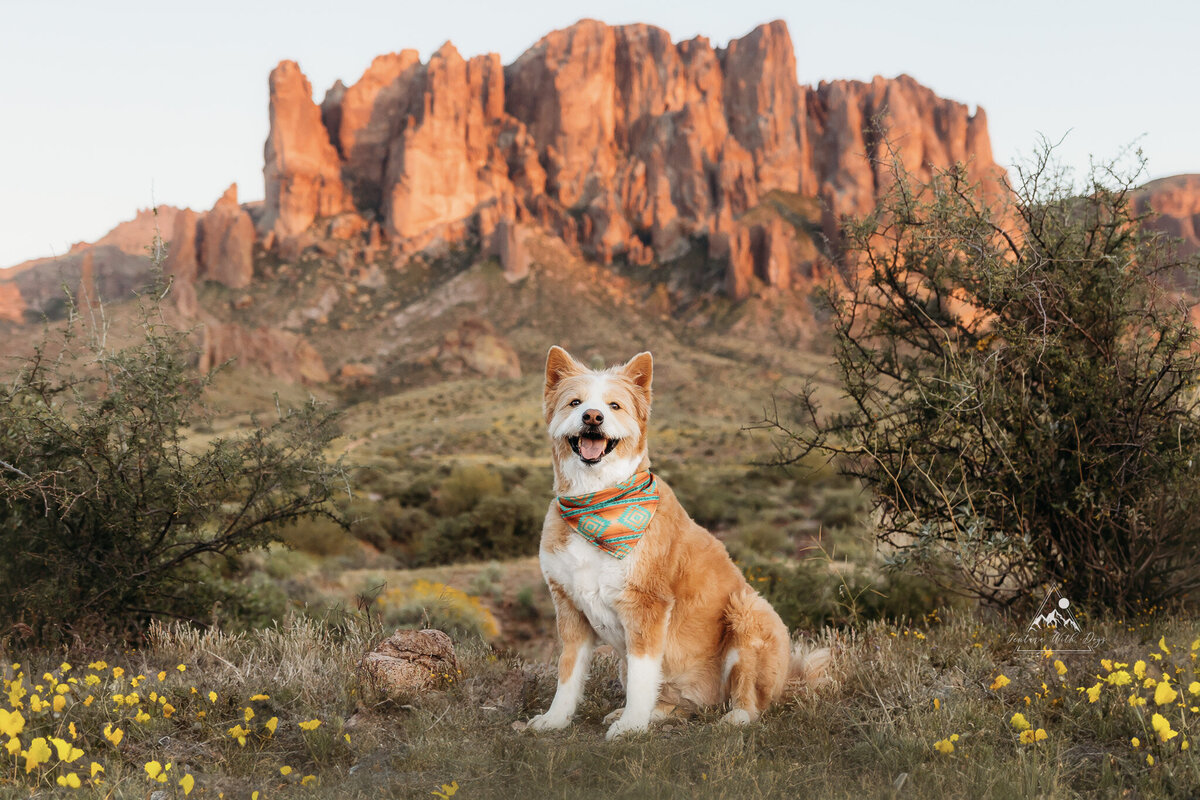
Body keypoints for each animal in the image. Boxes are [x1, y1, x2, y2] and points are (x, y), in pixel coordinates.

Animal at [530, 347, 830, 743]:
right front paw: (555, 720)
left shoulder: (646, 606)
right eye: (575, 402)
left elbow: (642, 678)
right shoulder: (570, 609)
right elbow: (568, 676)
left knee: (749, 700)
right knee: (675, 701)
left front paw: (632, 726)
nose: (592, 417)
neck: (597, 501)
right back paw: (654, 713)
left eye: (614, 405)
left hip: (748, 610)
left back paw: (735, 717)